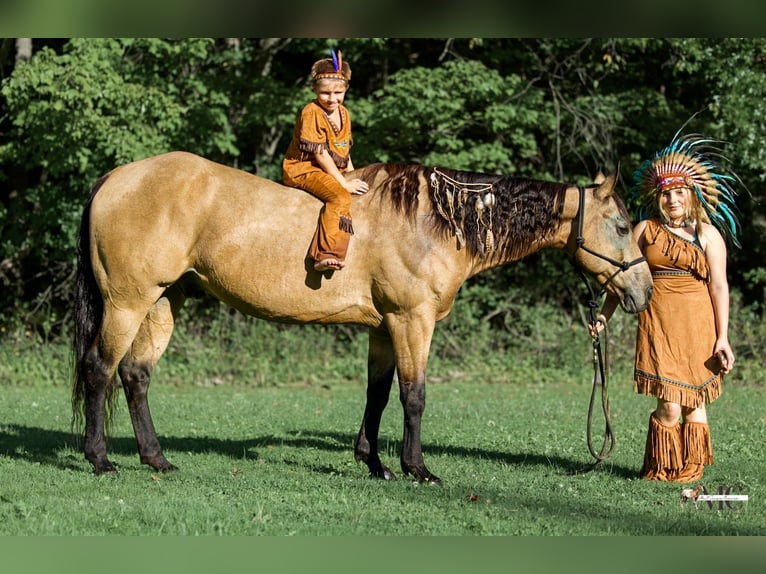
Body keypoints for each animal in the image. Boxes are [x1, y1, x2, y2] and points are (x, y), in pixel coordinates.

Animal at [71, 151, 653, 482]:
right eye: (623, 225)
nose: (644, 291)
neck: (434, 220)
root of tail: (114, 178)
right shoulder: (412, 321)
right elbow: (414, 396)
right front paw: (417, 469)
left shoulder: (383, 328)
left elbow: (377, 396)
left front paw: (373, 463)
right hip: (127, 302)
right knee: (100, 370)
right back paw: (100, 459)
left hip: (164, 302)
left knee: (135, 376)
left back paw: (156, 460)